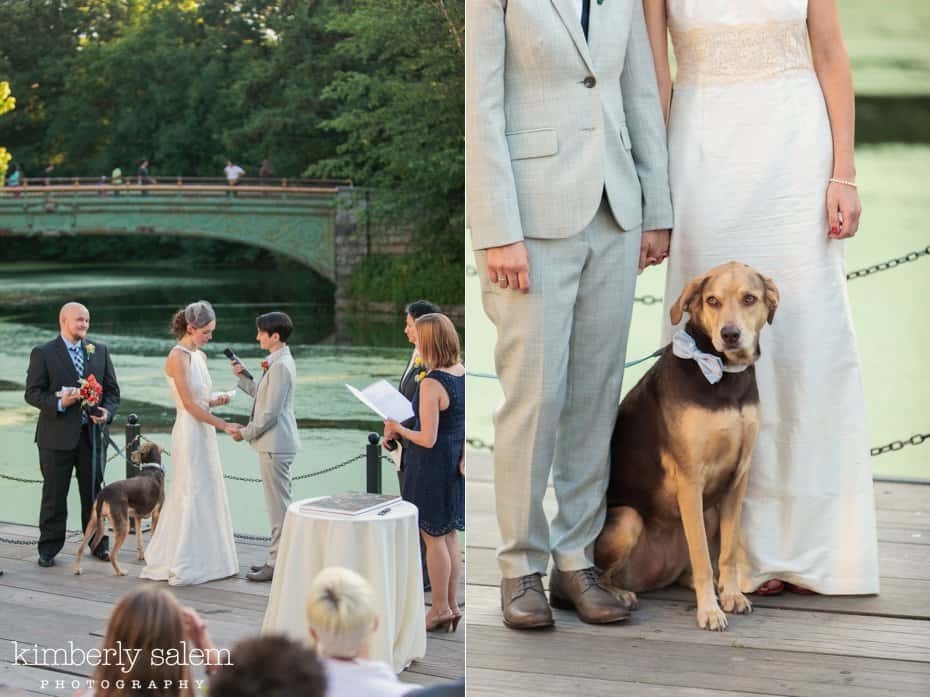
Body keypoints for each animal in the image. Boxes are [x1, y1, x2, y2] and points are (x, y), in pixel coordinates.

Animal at [75, 440, 166, 576]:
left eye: (139, 449)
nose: (131, 454)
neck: (152, 468)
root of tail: (104, 493)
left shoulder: (138, 517)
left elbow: (139, 540)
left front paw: (142, 556)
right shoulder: (156, 514)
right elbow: (152, 537)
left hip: (93, 522)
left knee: (80, 548)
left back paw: (76, 569)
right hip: (123, 525)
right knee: (112, 555)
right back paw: (120, 572)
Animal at [596, 260, 776, 632]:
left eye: (749, 298)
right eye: (712, 300)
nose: (730, 334)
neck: (723, 373)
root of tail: (649, 577)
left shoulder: (738, 476)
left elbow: (727, 550)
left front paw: (732, 595)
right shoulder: (691, 478)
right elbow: (703, 556)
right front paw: (709, 611)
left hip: (709, 512)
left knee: (687, 571)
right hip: (628, 519)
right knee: (605, 574)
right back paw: (619, 595)